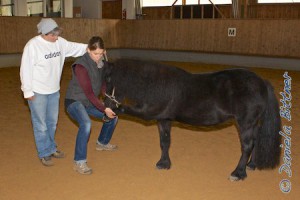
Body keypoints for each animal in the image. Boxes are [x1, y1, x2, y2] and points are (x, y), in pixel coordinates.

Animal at [102, 59, 282, 181]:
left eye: (108, 80)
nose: (104, 108)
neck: (157, 86)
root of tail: (261, 82)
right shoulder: (163, 119)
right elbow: (165, 142)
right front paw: (164, 163)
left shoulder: (149, 114)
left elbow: (126, 110)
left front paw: (115, 111)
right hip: (252, 124)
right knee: (256, 140)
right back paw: (251, 165)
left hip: (245, 124)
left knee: (247, 146)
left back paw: (238, 173)